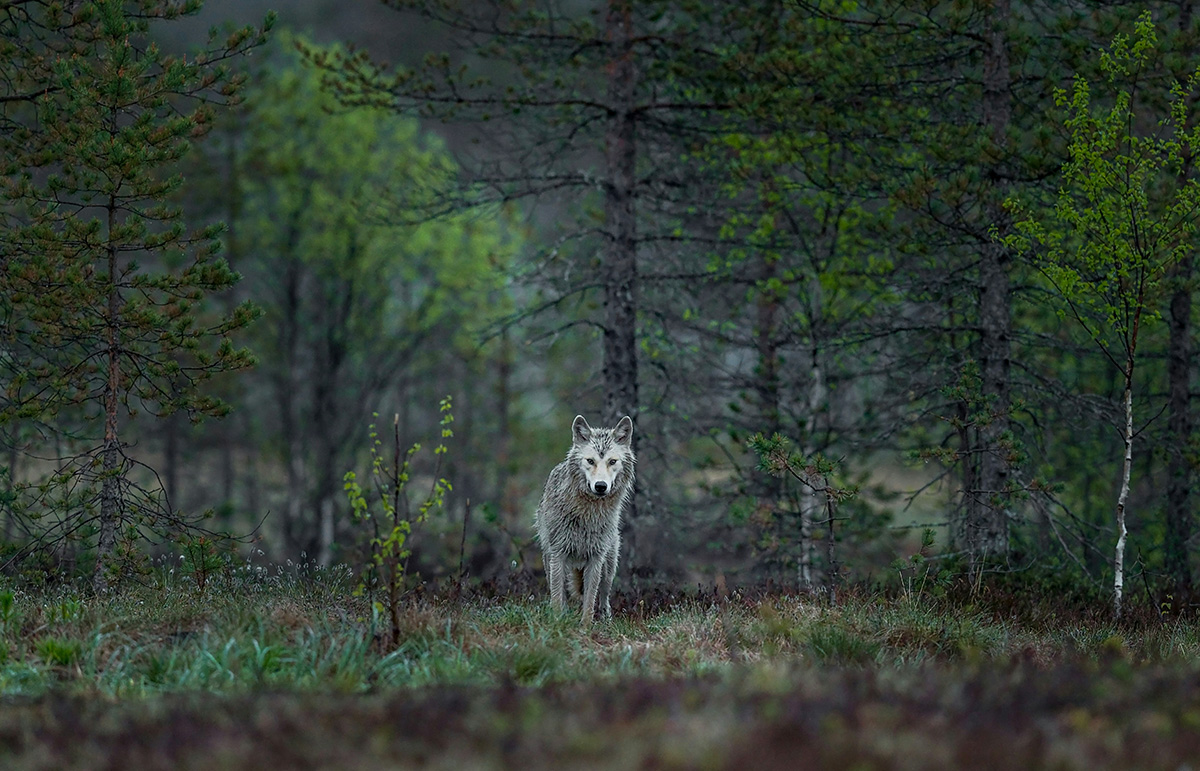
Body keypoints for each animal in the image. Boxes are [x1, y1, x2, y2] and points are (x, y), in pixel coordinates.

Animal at [534, 414, 635, 626]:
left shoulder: (596, 558)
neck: (588, 514)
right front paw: (557, 623)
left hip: (609, 566)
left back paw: (606, 620)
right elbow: (557, 597)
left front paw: (586, 626)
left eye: (612, 461)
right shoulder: (558, 554)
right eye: (590, 461)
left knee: (603, 597)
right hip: (549, 560)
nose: (601, 486)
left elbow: (589, 599)